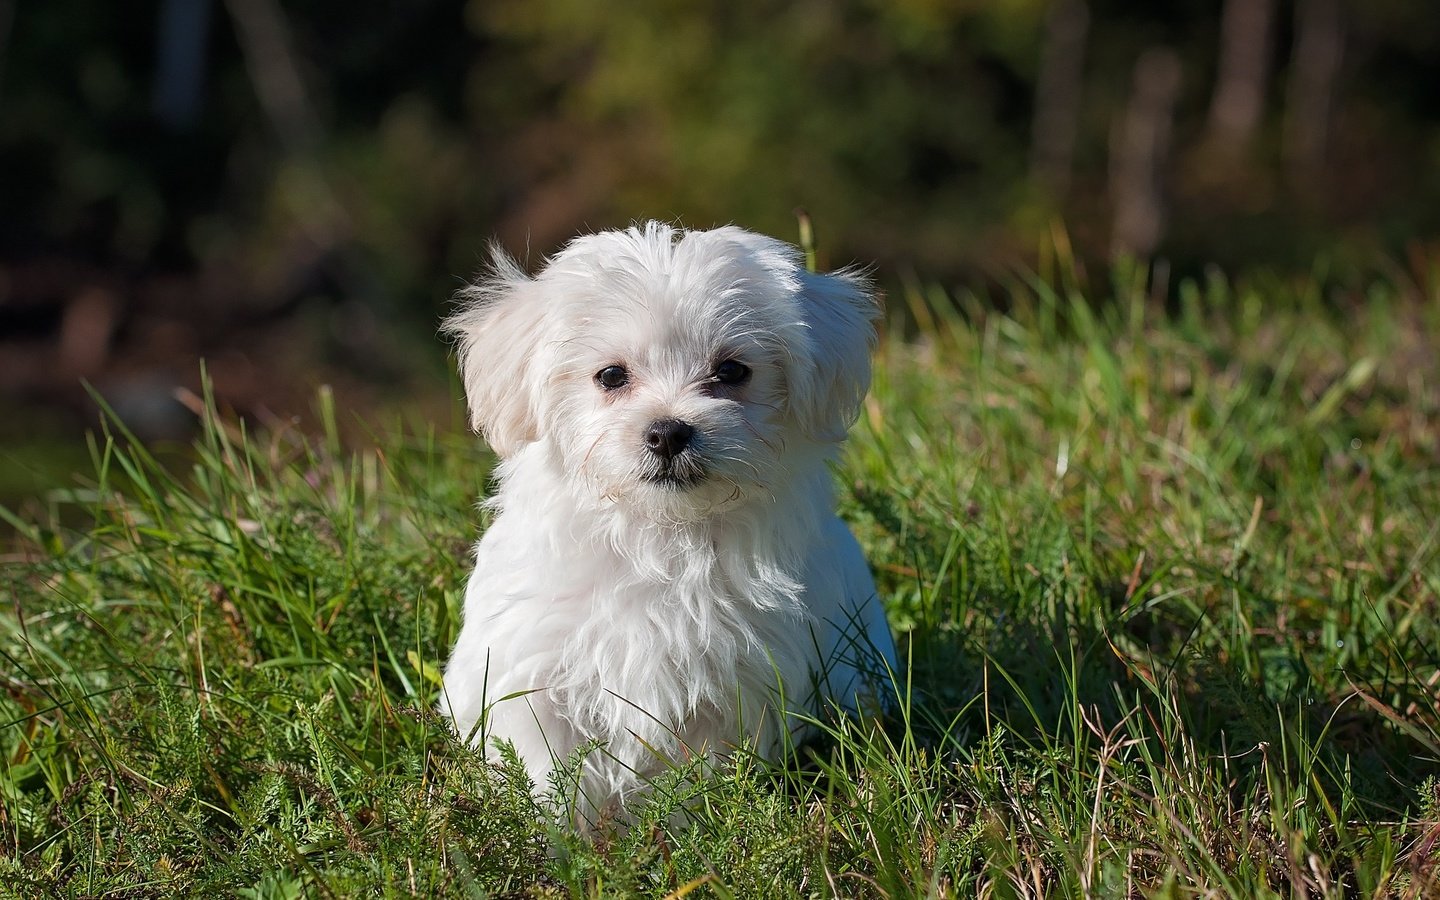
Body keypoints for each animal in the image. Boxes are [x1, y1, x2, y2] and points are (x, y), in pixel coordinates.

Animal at [437, 221, 892, 823]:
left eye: (732, 371)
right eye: (610, 375)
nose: (668, 431)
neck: (660, 535)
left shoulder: (734, 686)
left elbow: (696, 776)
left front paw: (683, 830)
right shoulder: (532, 673)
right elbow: (549, 770)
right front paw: (562, 838)